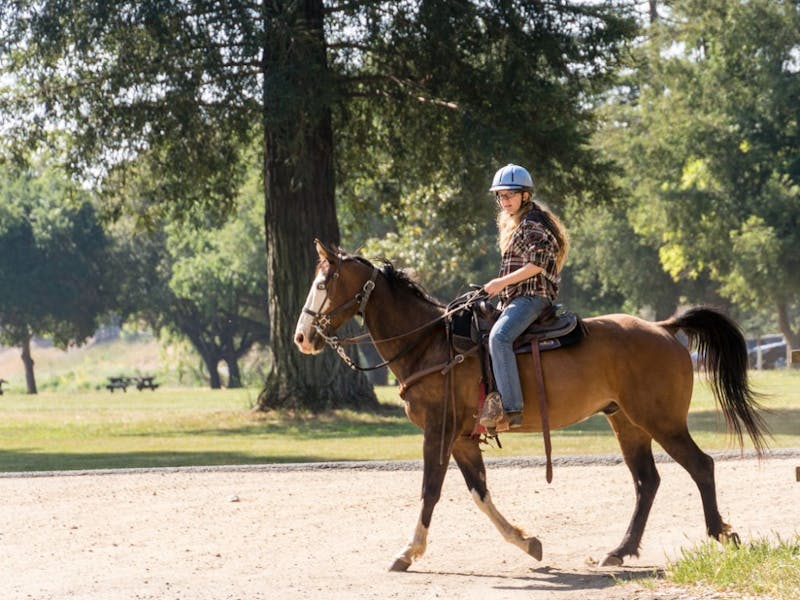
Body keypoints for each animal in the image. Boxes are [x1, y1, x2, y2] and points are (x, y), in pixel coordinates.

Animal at [294, 239, 768, 572]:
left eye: (322, 283)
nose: (302, 337)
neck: (429, 342)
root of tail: (665, 328)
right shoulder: (462, 437)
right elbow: (480, 492)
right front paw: (527, 542)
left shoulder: (439, 431)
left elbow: (431, 489)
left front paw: (408, 552)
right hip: (627, 422)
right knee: (646, 482)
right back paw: (620, 550)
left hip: (661, 421)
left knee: (701, 466)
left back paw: (720, 533)